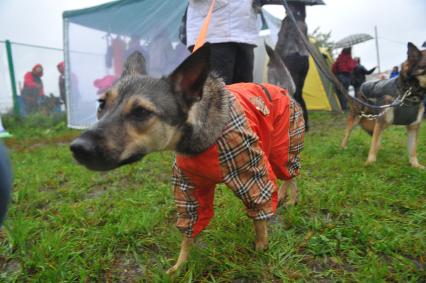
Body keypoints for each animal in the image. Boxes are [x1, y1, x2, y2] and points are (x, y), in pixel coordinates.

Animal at [70, 43, 304, 274]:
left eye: (141, 112)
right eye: (101, 104)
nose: (78, 148)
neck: (200, 143)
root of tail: (285, 89)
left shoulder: (251, 177)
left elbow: (259, 216)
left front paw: (261, 245)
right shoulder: (188, 188)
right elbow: (188, 230)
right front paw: (180, 265)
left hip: (284, 148)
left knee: (291, 175)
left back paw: (291, 200)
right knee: (284, 177)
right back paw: (284, 196)